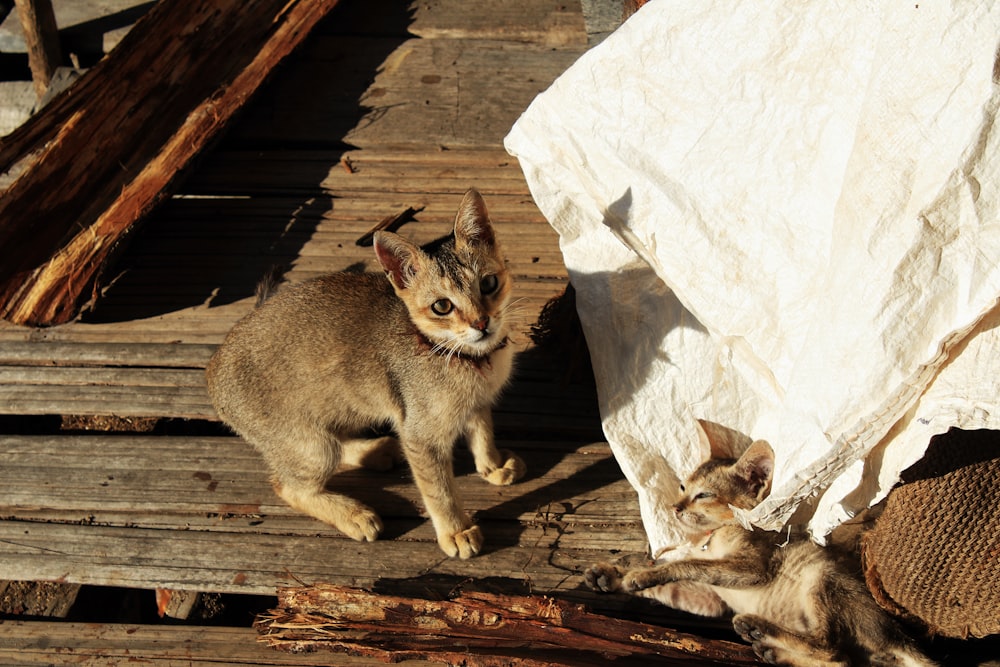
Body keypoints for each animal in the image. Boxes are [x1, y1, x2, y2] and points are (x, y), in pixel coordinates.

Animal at [207, 189, 528, 560]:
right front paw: (456, 531)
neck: (472, 362)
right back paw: (354, 514)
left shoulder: (477, 404)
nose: (481, 323)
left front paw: (493, 466)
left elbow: (483, 433)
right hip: (309, 444)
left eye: (489, 283)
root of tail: (214, 365)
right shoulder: (421, 436)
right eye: (442, 306)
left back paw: (377, 451)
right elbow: (440, 490)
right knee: (287, 485)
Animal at [584, 438, 936, 667]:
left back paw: (757, 628)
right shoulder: (709, 599)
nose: (675, 507)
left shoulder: (752, 568)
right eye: (683, 488)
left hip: (822, 577)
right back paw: (771, 649)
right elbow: (675, 582)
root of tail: (900, 637)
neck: (715, 538)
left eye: (704, 495)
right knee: (844, 660)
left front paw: (642, 573)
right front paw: (613, 576)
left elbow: (687, 563)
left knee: (831, 647)